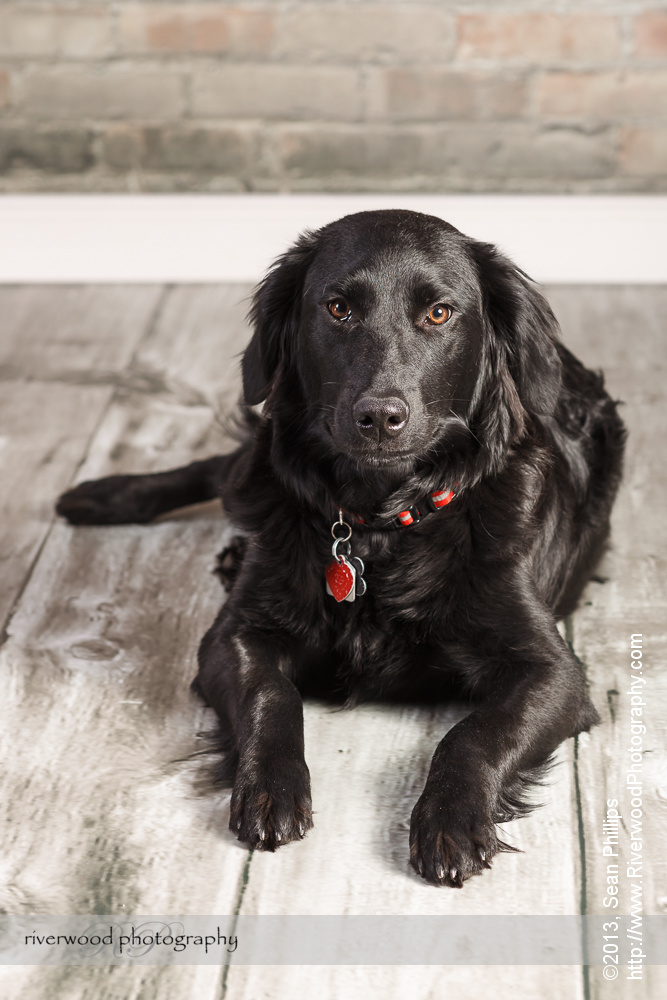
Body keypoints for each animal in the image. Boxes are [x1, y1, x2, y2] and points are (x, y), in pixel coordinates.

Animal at [57, 209, 628, 884]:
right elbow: (271, 695)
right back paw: (104, 496)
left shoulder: (554, 672)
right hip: (256, 470)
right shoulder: (232, 635)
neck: (378, 525)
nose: (379, 417)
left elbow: (476, 732)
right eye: (337, 308)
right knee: (220, 469)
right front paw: (271, 787)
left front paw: (451, 818)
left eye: (439, 313)